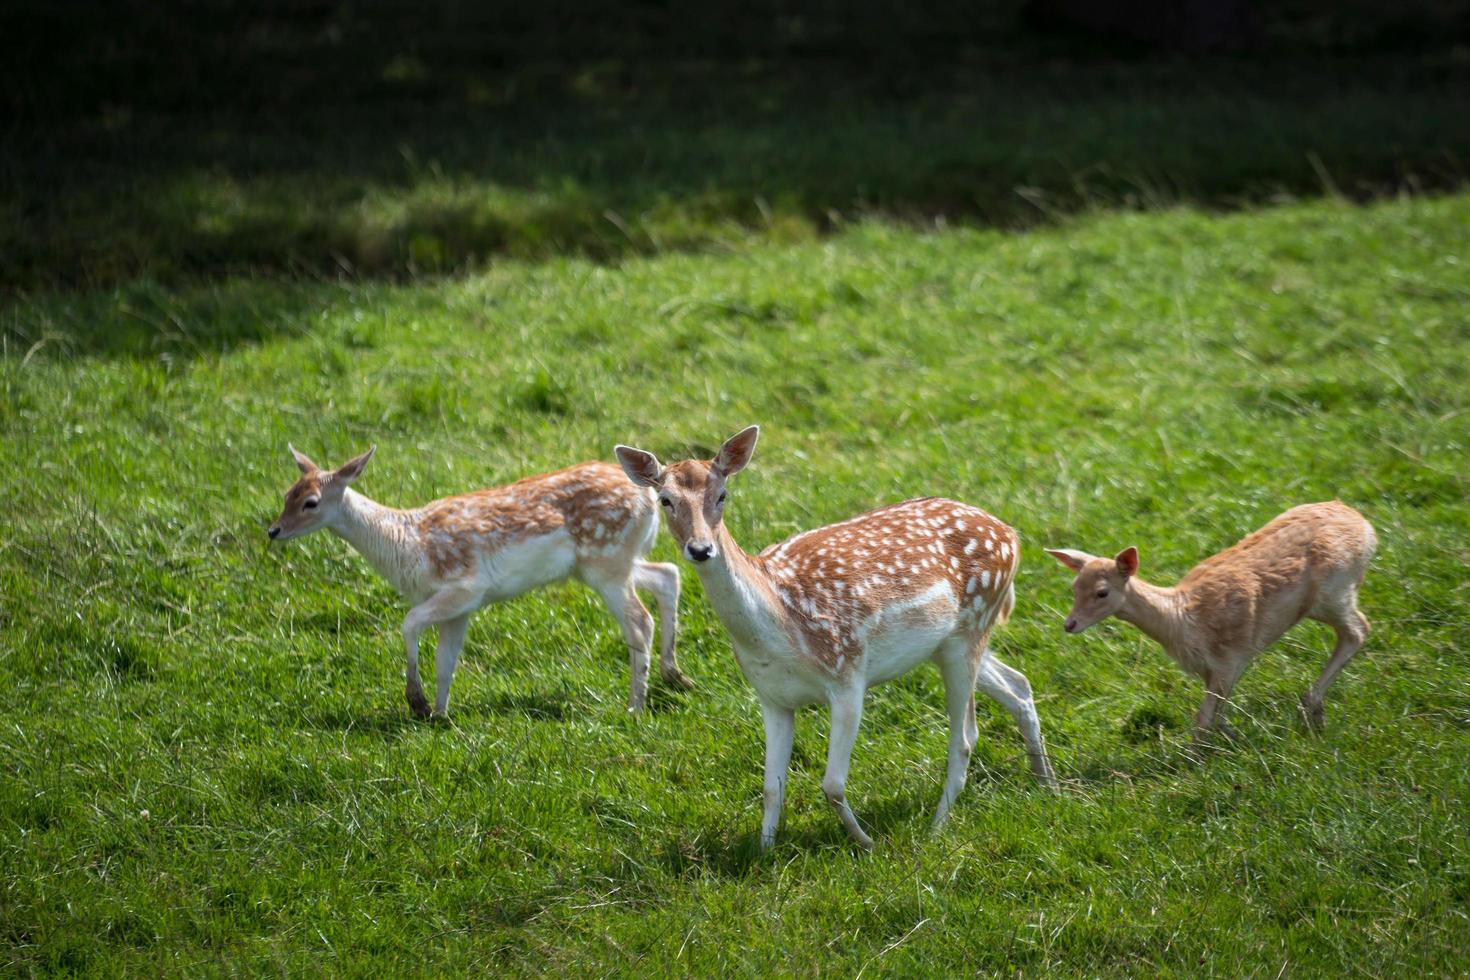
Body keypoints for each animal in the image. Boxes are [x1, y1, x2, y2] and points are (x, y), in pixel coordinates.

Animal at [270, 449, 693, 717]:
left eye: (310, 502)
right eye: (287, 493)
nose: (273, 530)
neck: (407, 545)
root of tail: (651, 498)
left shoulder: (465, 587)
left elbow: (409, 622)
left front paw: (417, 702)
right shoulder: (460, 609)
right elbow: (446, 660)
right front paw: (439, 714)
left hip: (607, 559)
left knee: (639, 621)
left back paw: (634, 706)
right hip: (610, 561)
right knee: (667, 574)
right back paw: (675, 676)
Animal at [614, 426, 1052, 852]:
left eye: (722, 494)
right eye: (666, 500)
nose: (701, 549)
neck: (779, 627)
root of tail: (1012, 535)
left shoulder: (848, 677)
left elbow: (832, 784)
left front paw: (867, 843)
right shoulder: (771, 696)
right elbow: (771, 788)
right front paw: (764, 854)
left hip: (971, 627)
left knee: (964, 737)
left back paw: (937, 828)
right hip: (950, 642)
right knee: (1018, 684)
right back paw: (1045, 782)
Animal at [1052, 502, 1370, 740]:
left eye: (1102, 592)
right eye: (1074, 587)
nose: (1070, 625)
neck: (1183, 622)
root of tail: (1367, 527)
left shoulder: (1231, 657)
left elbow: (1204, 717)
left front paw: (1195, 763)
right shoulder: (1213, 668)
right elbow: (1216, 715)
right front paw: (1231, 739)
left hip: (1336, 590)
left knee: (1359, 629)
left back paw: (1311, 710)